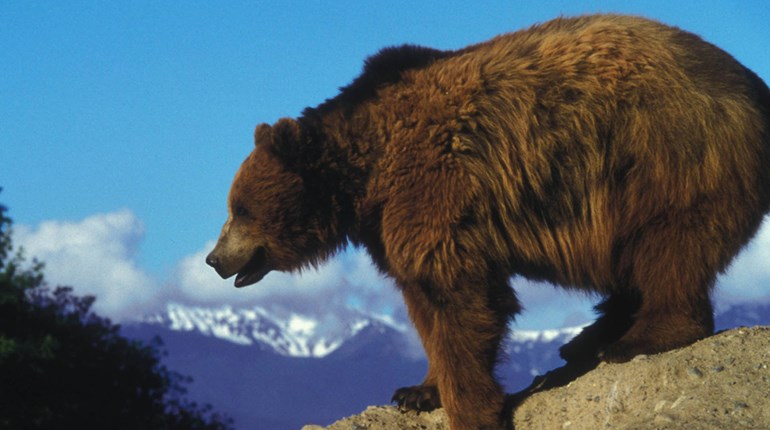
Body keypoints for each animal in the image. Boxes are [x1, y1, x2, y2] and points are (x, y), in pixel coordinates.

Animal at [205, 14, 770, 430]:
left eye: (240, 209)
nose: (213, 259)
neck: (365, 174)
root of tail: (751, 86)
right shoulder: (393, 221)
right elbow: (424, 304)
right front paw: (418, 390)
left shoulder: (434, 187)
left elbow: (460, 297)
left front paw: (472, 409)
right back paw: (584, 340)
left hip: (664, 156)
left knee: (667, 246)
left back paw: (635, 339)